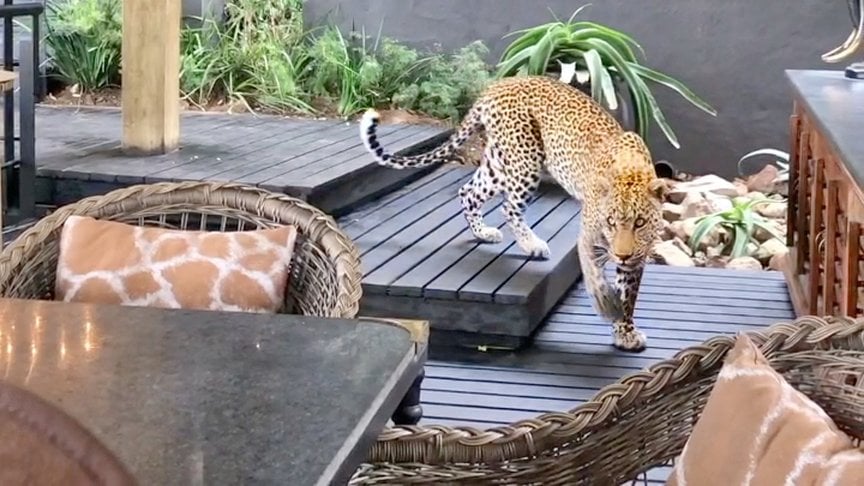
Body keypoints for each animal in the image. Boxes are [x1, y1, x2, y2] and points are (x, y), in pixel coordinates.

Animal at [358, 74, 668, 352]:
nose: (622, 254)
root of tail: (498, 84)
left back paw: (483, 233)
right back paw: (532, 245)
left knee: (468, 191)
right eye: (610, 222)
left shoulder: (636, 255)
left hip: (498, 163)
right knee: (508, 206)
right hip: (525, 160)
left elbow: (629, 293)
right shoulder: (588, 237)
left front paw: (625, 332)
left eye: (640, 223)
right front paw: (607, 305)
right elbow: (595, 275)